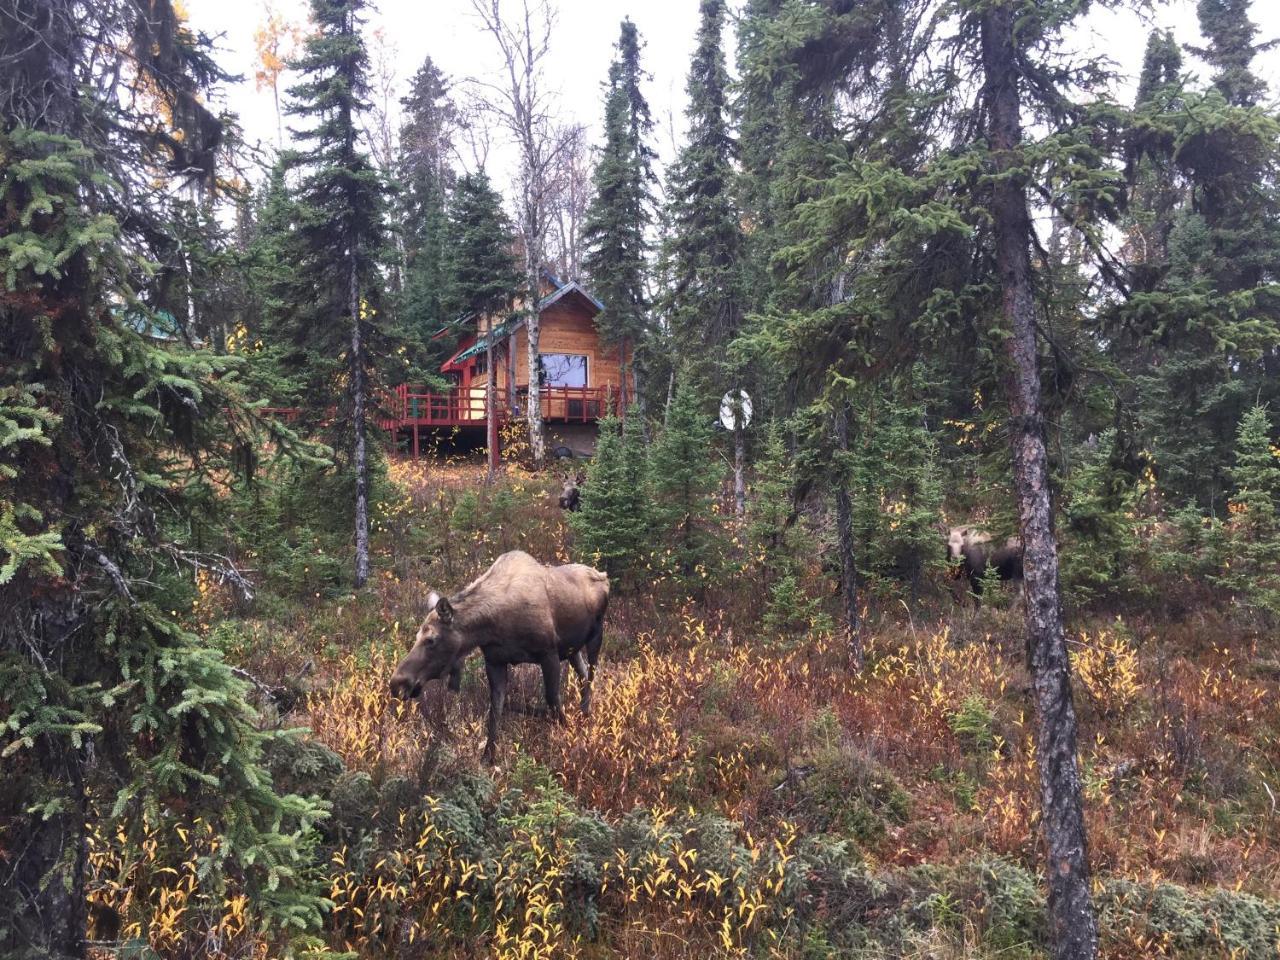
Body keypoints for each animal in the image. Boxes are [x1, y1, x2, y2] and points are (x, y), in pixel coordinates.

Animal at [386, 547, 606, 768]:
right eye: (417, 636)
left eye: (431, 639)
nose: (397, 682)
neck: (490, 628)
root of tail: (604, 576)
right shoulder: (495, 661)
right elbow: (495, 709)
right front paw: (488, 758)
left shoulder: (548, 652)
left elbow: (552, 700)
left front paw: (567, 734)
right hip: (572, 649)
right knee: (583, 674)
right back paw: (584, 713)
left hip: (596, 634)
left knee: (591, 675)